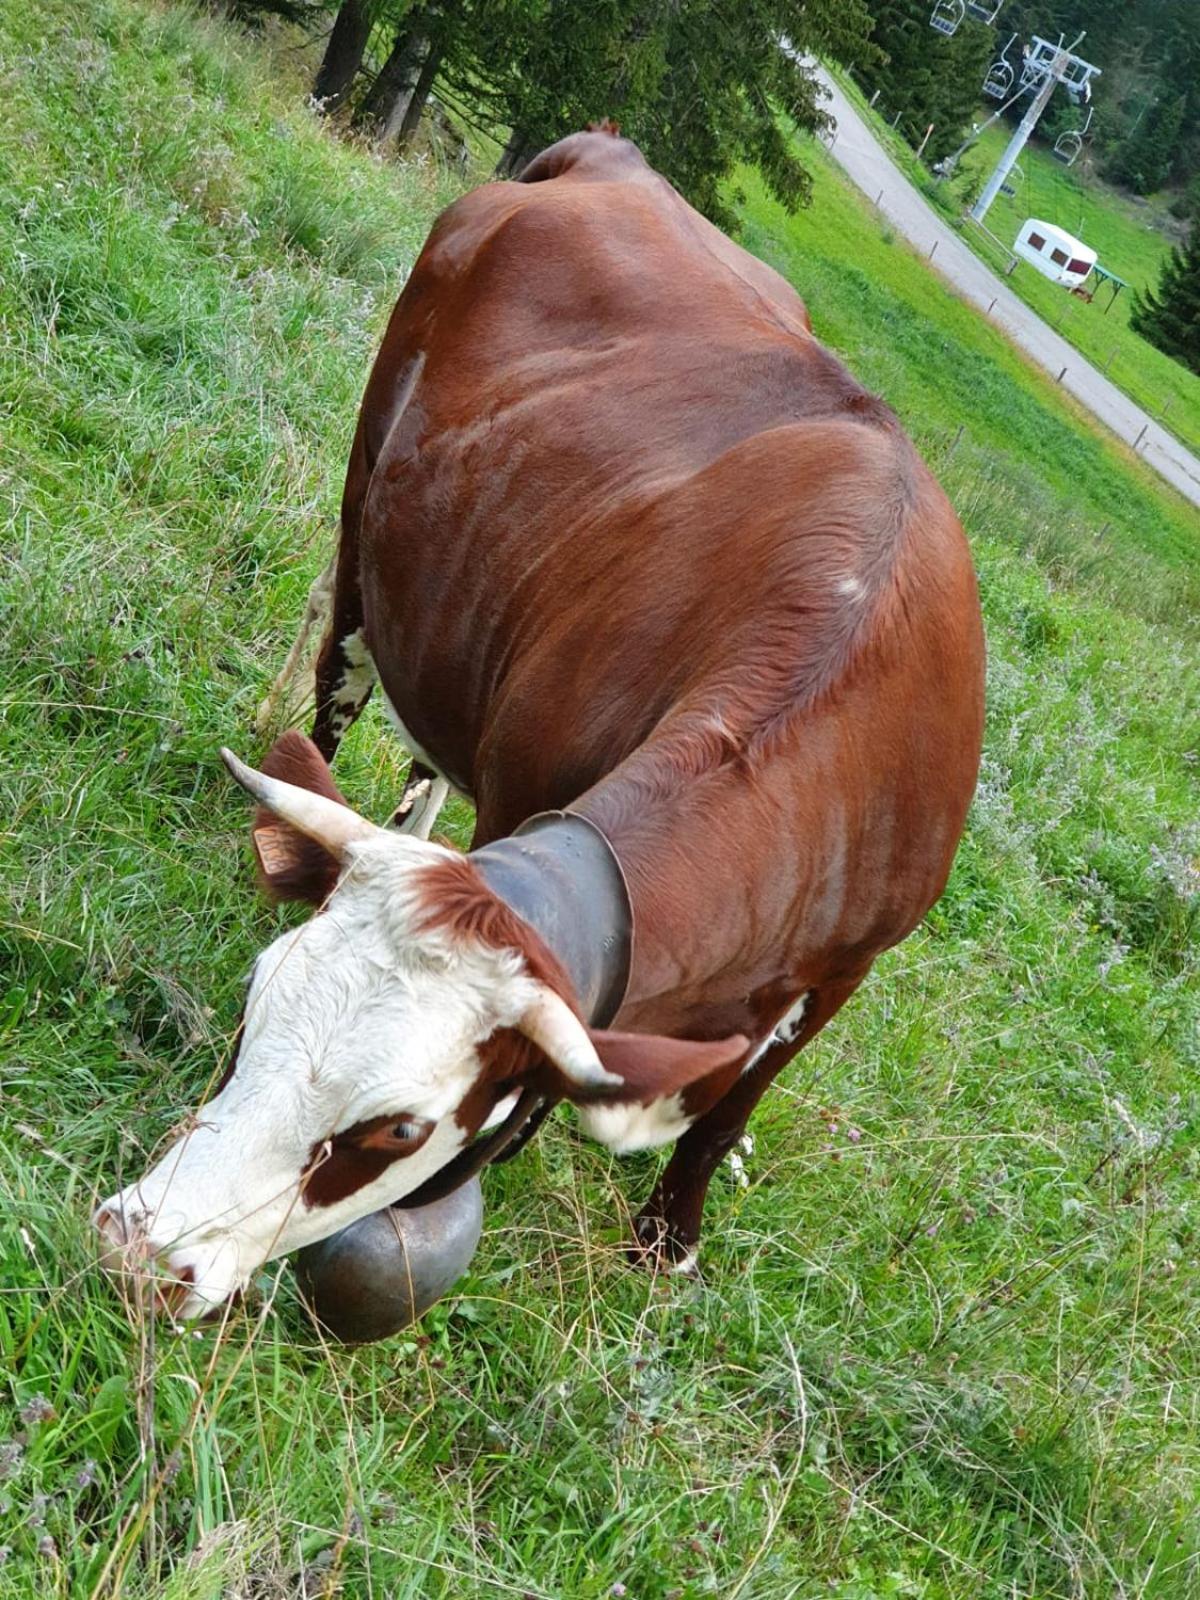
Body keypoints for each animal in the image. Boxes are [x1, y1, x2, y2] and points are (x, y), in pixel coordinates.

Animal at [96, 128, 985, 1324]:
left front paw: (668, 1238)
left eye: (396, 1128)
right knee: (336, 693)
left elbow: (724, 1112)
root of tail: (612, 156)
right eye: (252, 1004)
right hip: (366, 518)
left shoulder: (850, 965)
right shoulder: (521, 802)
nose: (133, 1252)